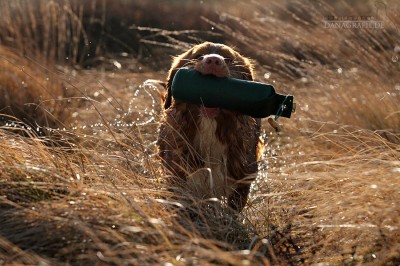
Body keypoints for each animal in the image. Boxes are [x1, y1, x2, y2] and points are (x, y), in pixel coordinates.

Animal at [158, 42, 264, 212]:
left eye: (228, 59)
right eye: (198, 56)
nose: (213, 60)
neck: (210, 127)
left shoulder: (244, 175)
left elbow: (233, 209)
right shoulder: (176, 170)